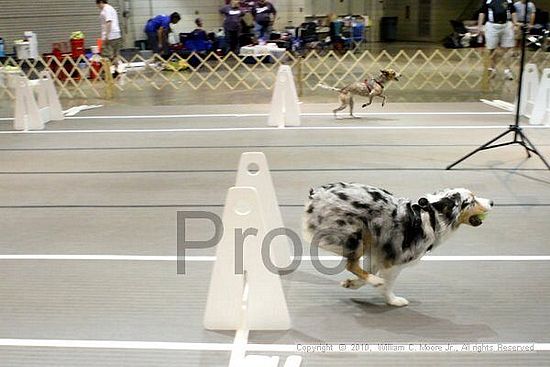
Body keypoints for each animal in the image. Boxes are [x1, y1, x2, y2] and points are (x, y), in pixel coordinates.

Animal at [304, 183, 494, 308]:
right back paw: (376, 281)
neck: (432, 216)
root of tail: (318, 193)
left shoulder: (379, 252)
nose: (492, 202)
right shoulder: (394, 260)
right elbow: (387, 284)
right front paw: (392, 300)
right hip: (358, 234)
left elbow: (368, 272)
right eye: (471, 201)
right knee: (350, 264)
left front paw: (352, 284)